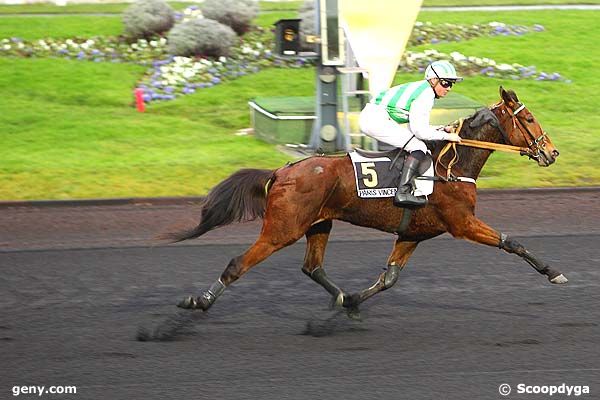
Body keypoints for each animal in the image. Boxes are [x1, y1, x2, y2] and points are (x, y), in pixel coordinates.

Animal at [168, 87, 564, 318]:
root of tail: (282, 171)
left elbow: (389, 277)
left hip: (319, 224)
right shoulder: (461, 222)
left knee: (312, 267)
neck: (450, 166)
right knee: (239, 263)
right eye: (529, 118)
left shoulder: (414, 233)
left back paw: (343, 299)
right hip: (283, 228)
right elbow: (512, 243)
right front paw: (553, 272)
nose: (551, 152)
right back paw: (199, 301)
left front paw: (357, 299)